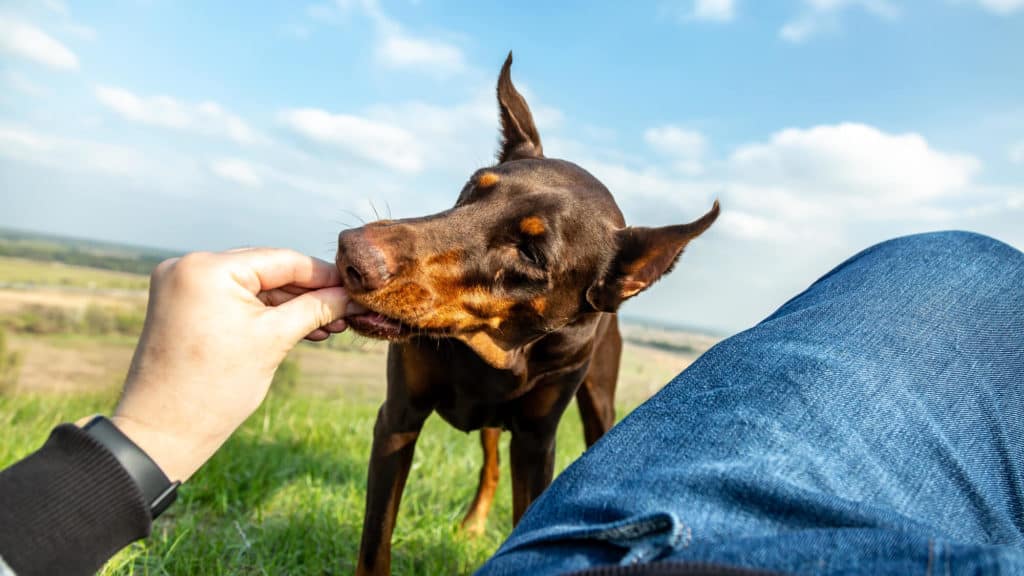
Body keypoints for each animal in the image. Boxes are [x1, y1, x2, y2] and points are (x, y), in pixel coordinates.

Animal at [337, 51, 720, 569]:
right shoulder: (399, 418)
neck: (496, 353)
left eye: (532, 254)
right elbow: (375, 543)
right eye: (472, 188)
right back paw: (474, 522)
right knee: (490, 462)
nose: (353, 254)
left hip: (598, 399)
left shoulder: (537, 442)